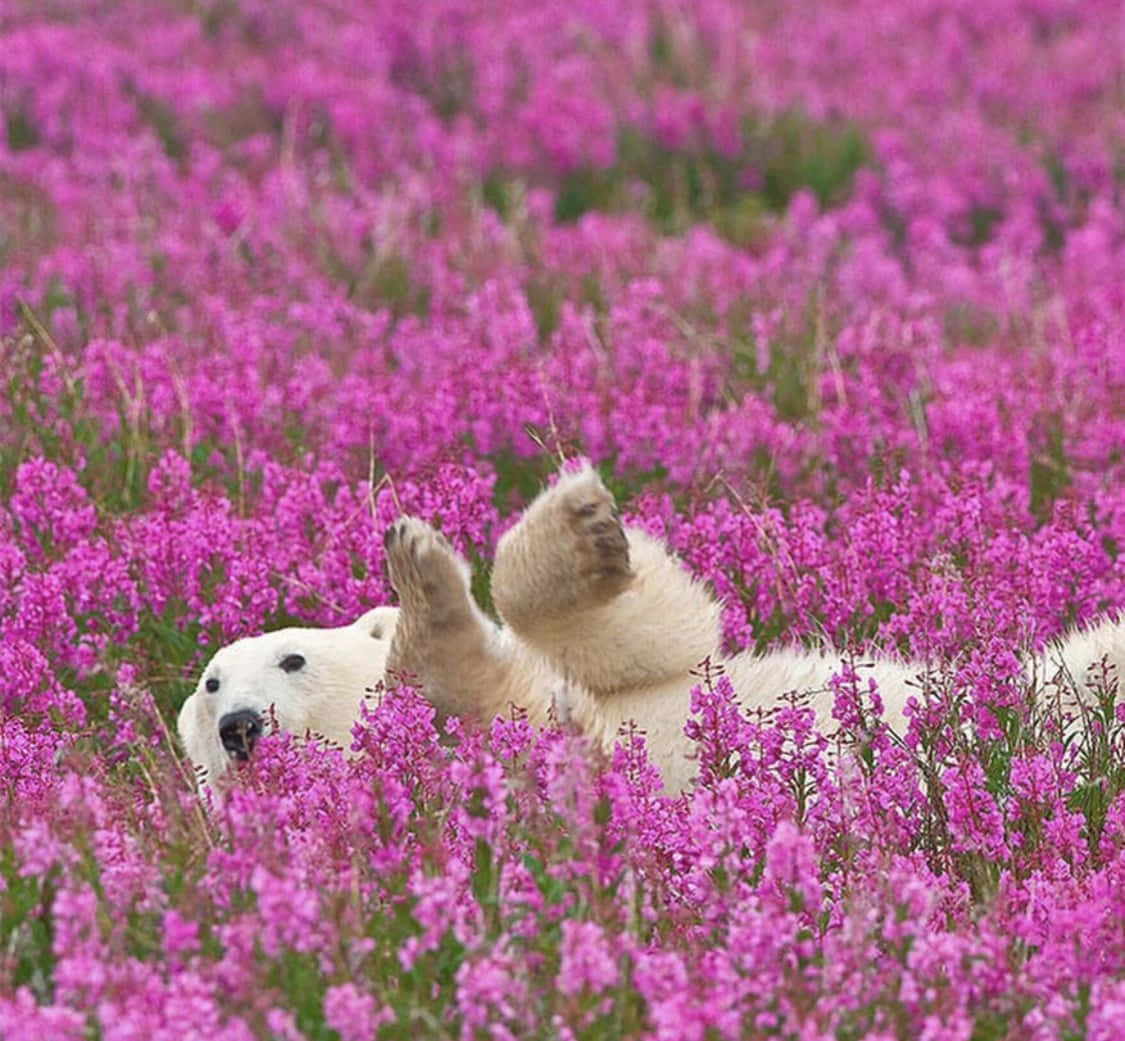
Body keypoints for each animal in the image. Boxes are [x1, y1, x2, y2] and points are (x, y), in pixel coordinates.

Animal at [178, 464, 1125, 792]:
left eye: (290, 656)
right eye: (212, 686)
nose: (238, 726)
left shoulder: (600, 689)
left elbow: (655, 641)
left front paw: (583, 526)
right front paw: (431, 576)